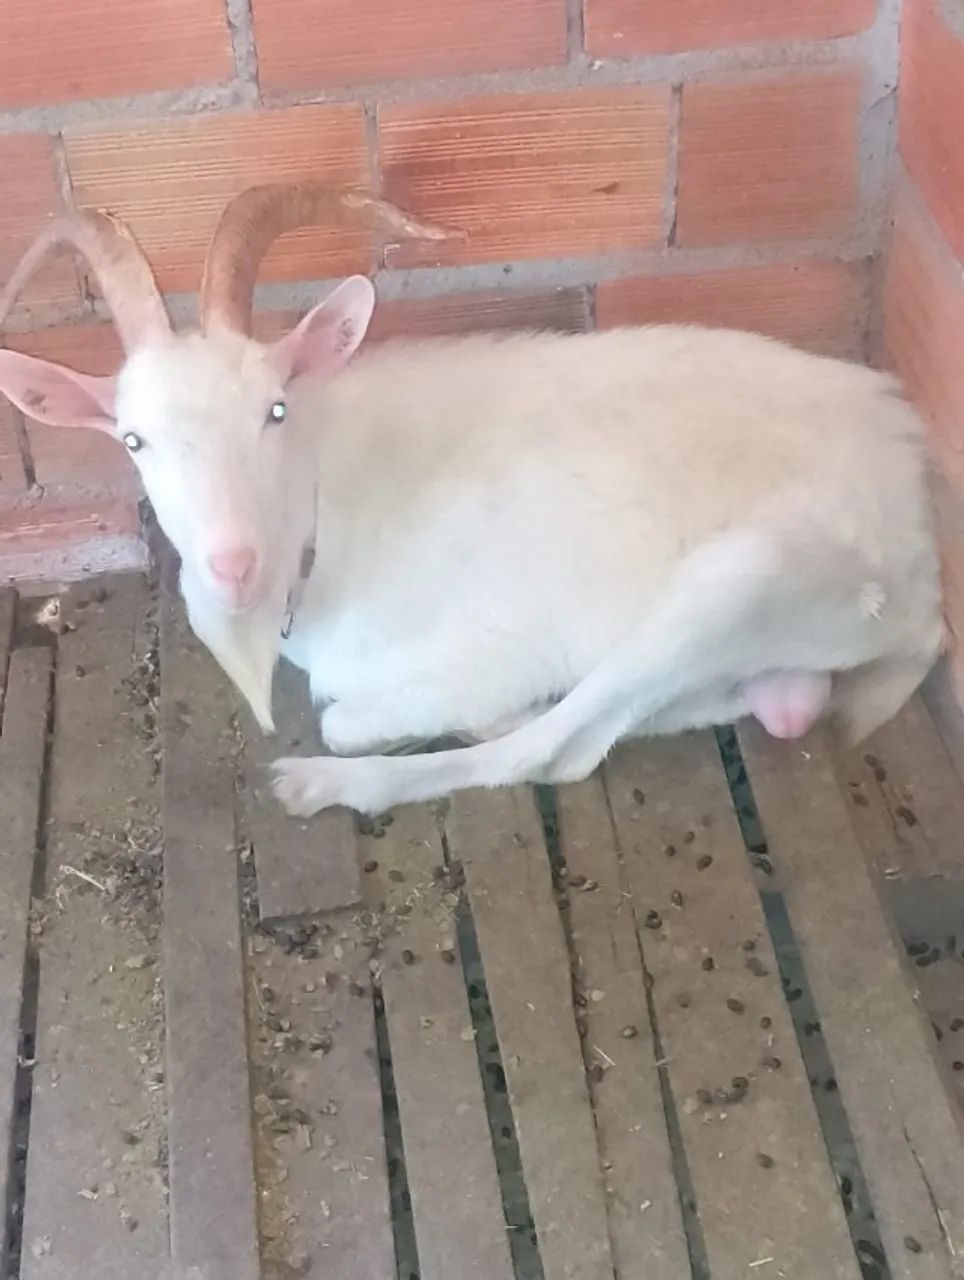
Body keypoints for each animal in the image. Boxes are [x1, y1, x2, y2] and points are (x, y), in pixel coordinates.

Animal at [0, 184, 945, 818]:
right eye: (134, 440)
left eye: (274, 409)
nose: (232, 565)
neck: (328, 518)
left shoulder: (488, 648)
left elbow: (352, 716)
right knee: (774, 700)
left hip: (750, 574)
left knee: (556, 750)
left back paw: (328, 783)